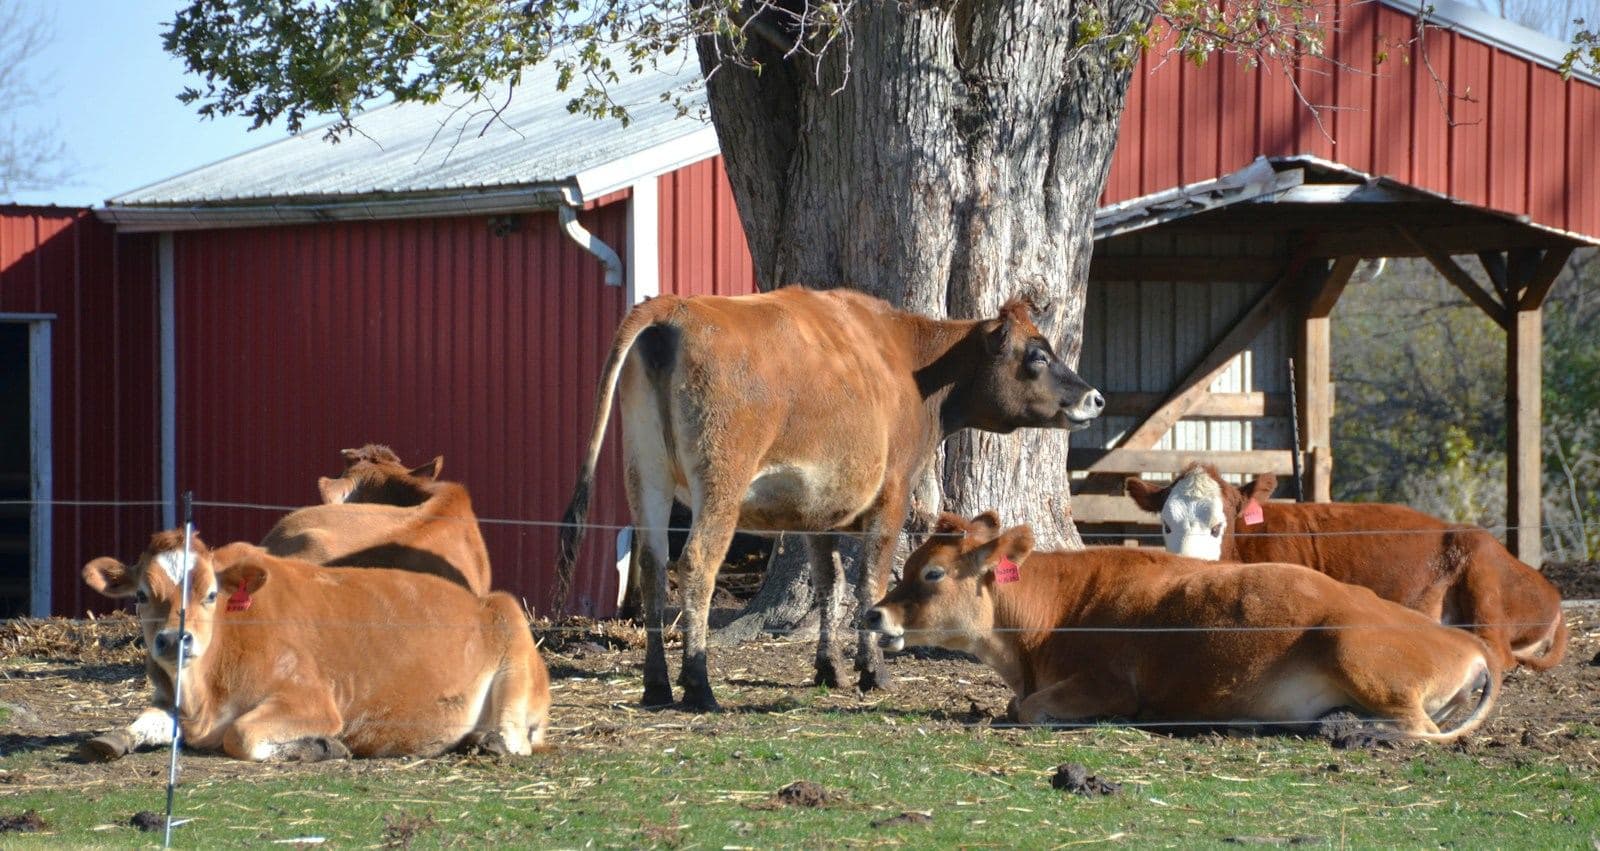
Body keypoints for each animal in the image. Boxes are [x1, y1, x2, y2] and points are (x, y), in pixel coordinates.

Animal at [79, 530, 548, 761]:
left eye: (211, 594)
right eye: (141, 595)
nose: (175, 639)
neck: (203, 695)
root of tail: (483, 600)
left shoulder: (312, 702)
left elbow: (240, 735)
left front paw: (317, 747)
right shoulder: (171, 703)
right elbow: (144, 720)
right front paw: (113, 739)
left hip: (513, 648)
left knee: (515, 739)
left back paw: (490, 742)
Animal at [557, 287, 1105, 710]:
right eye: (1038, 355)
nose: (1095, 397)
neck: (909, 366)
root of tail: (672, 306)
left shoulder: (816, 511)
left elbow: (829, 583)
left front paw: (829, 669)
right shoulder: (892, 493)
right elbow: (870, 581)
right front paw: (873, 671)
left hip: (644, 472)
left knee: (651, 567)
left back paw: (655, 686)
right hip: (721, 477)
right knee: (695, 564)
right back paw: (698, 686)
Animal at [865, 512, 1500, 743]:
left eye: (931, 572)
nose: (873, 613)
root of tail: (1467, 641)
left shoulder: (1107, 684)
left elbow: (1027, 709)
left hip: (1355, 652)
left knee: (1417, 727)